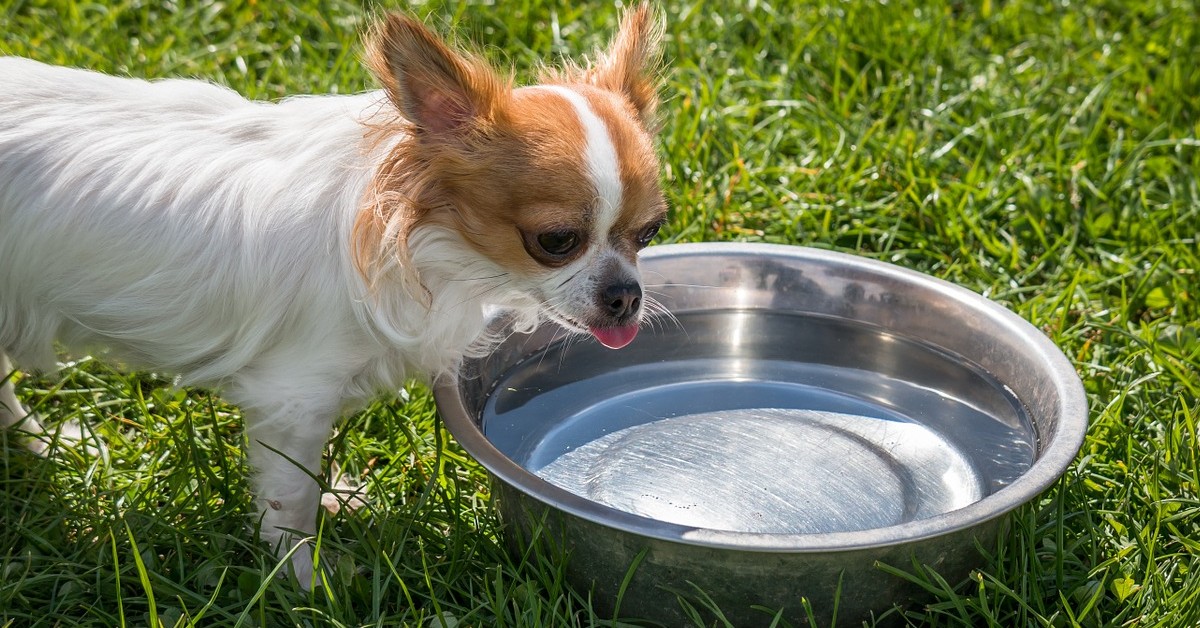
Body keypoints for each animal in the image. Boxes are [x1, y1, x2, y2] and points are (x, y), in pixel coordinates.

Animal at [0, 4, 667, 588]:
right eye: (556, 241)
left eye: (649, 232)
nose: (626, 296)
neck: (427, 241)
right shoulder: (294, 396)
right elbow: (288, 495)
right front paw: (302, 578)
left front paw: (330, 510)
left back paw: (45, 445)